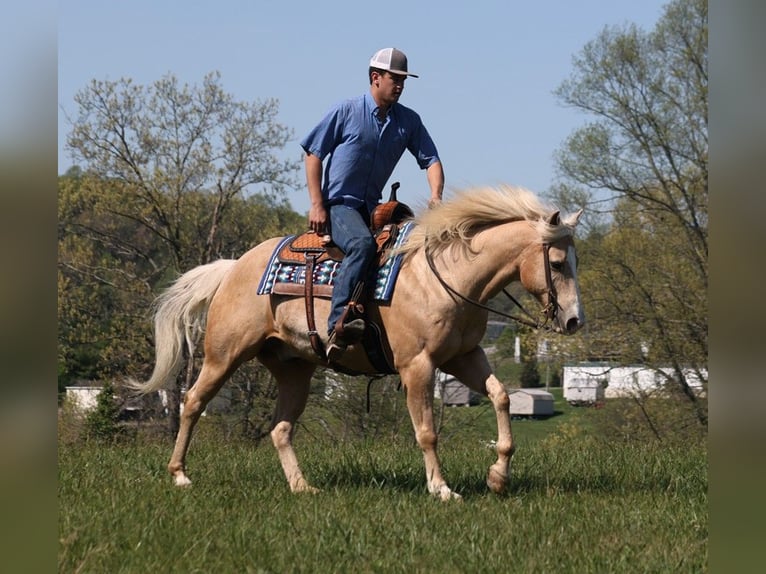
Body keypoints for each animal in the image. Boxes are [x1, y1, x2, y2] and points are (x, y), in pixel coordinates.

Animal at [134, 187, 588, 502]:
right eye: (557, 263)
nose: (573, 320)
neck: (446, 275)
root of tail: (233, 268)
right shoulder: (417, 365)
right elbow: (427, 431)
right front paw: (442, 489)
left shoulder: (463, 357)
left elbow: (500, 396)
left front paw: (498, 477)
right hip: (224, 354)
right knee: (192, 402)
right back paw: (180, 474)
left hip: (294, 369)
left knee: (280, 428)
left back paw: (302, 487)